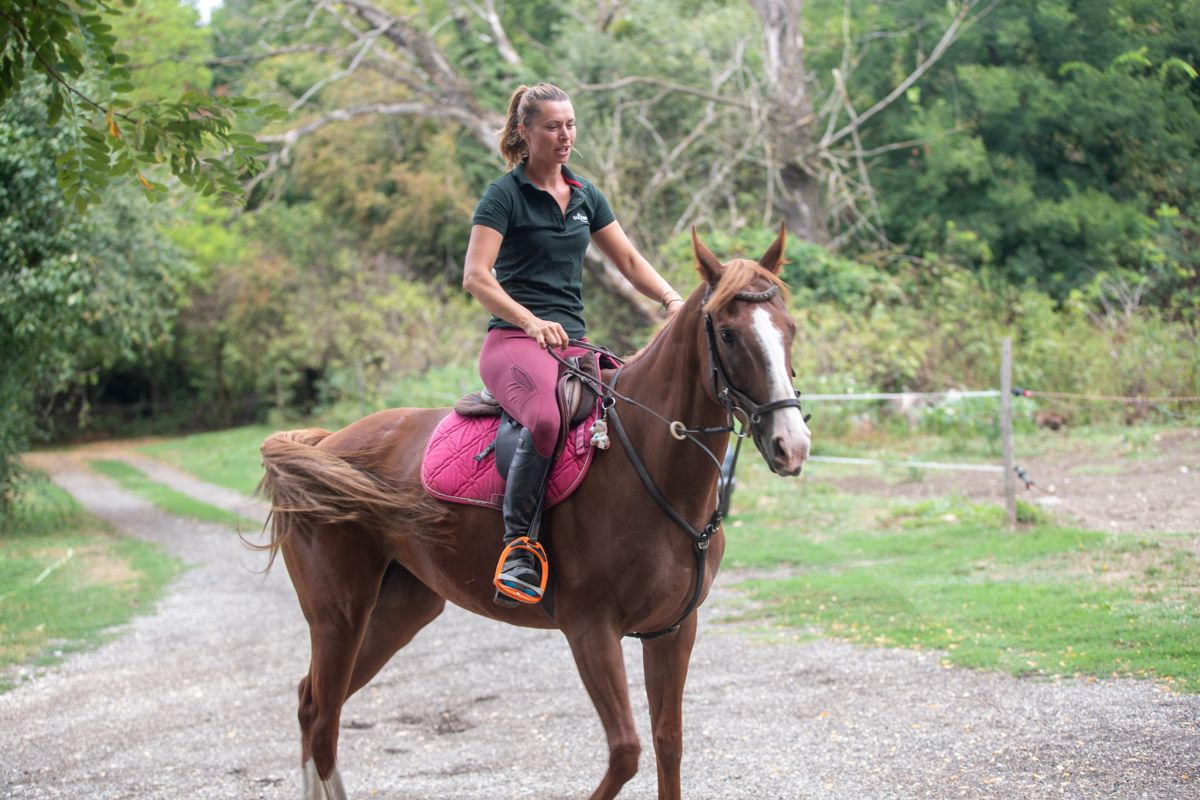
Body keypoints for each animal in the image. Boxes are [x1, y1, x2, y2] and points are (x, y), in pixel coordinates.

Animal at [258, 226, 811, 800]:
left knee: (311, 703)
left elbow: (668, 744)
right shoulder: (590, 630)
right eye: (728, 334)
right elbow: (626, 752)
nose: (791, 445)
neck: (650, 467)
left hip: (399, 611)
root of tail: (328, 444)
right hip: (339, 615)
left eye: (790, 328)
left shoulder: (673, 630)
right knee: (322, 720)